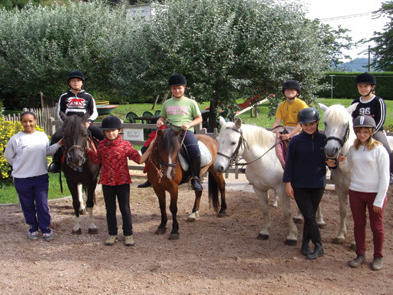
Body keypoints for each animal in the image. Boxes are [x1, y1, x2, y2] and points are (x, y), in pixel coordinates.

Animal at [213, 117, 296, 245]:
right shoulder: (258, 189)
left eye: (233, 142)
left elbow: (287, 212)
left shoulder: (282, 189)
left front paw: (292, 236)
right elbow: (265, 210)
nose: (218, 167)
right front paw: (265, 232)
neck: (264, 159)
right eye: (218, 140)